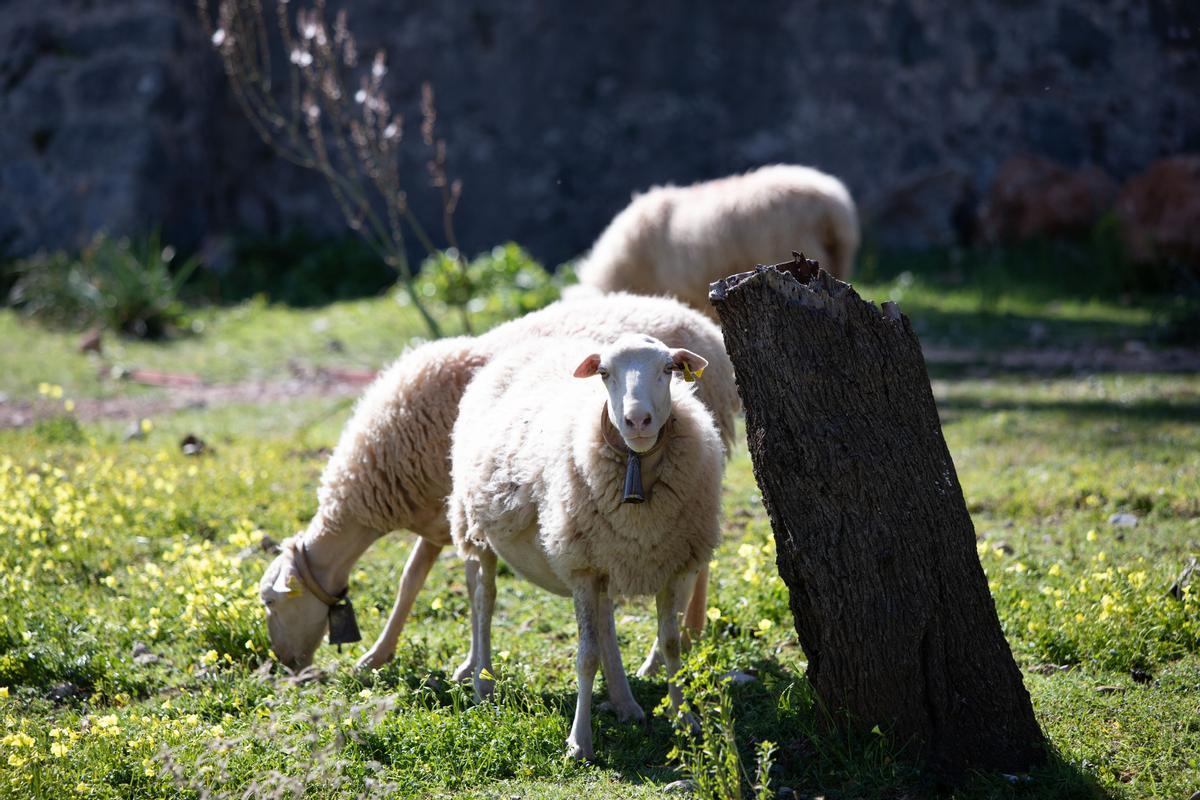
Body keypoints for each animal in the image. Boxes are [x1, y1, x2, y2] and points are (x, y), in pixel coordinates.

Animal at [258, 291, 734, 671]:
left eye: (270, 601)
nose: (287, 664)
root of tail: (702, 324)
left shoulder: (454, 509)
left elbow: (444, 584)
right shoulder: (444, 517)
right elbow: (415, 579)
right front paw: (383, 654)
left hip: (694, 470)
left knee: (692, 566)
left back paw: (668, 648)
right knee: (698, 563)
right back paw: (691, 630)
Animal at [451, 335, 720, 762]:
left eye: (668, 369)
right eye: (605, 373)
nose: (637, 421)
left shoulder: (676, 566)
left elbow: (671, 645)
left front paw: (685, 721)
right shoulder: (580, 567)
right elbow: (586, 655)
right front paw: (580, 741)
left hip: (605, 554)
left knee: (606, 620)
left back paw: (625, 702)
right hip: (475, 526)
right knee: (483, 599)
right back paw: (483, 681)